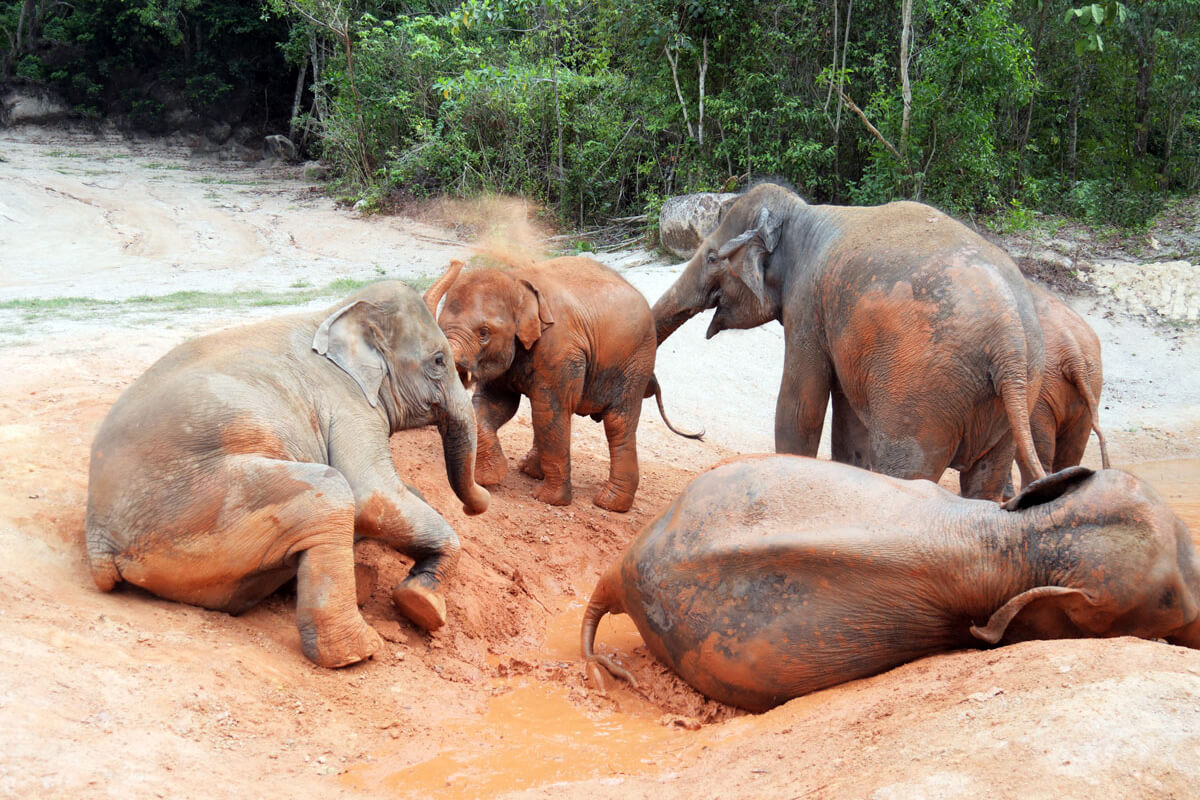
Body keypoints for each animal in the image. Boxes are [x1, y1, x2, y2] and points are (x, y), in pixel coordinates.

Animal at [85, 281, 490, 668]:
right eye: (439, 360)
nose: (477, 504)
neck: (334, 313)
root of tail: (99, 542)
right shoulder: (346, 404)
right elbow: (372, 496)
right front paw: (423, 604)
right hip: (197, 509)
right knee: (332, 493)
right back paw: (360, 652)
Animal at [422, 257, 701, 512]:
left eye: (484, 333)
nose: (456, 261)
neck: (516, 282)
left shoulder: (561, 349)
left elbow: (549, 411)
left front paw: (548, 500)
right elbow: (494, 404)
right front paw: (489, 478)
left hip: (635, 361)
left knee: (616, 423)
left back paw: (608, 504)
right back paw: (531, 471)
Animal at [652, 182, 1048, 500]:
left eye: (712, 257)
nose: (697, 432)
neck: (804, 214)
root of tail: (1008, 339)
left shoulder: (807, 306)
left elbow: (800, 408)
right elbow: (848, 419)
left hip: (925, 392)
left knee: (909, 472)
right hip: (1010, 399)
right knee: (985, 482)